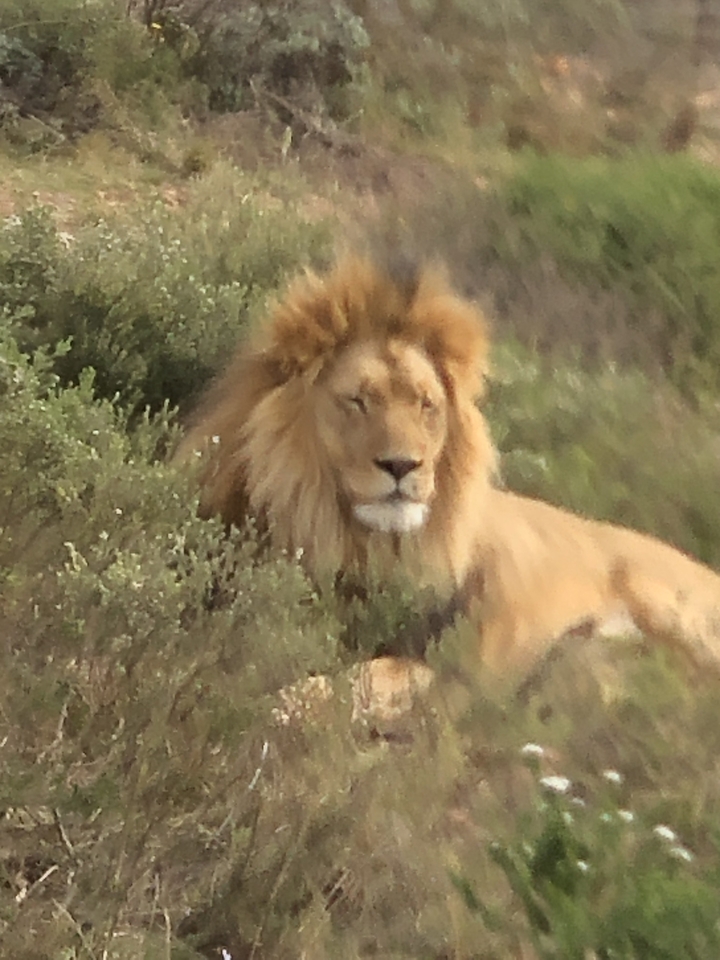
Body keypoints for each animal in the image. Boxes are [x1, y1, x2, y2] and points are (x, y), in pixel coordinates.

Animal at [178, 254, 720, 690]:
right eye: (357, 401)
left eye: (426, 405)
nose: (402, 466)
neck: (352, 540)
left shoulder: (445, 664)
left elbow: (339, 687)